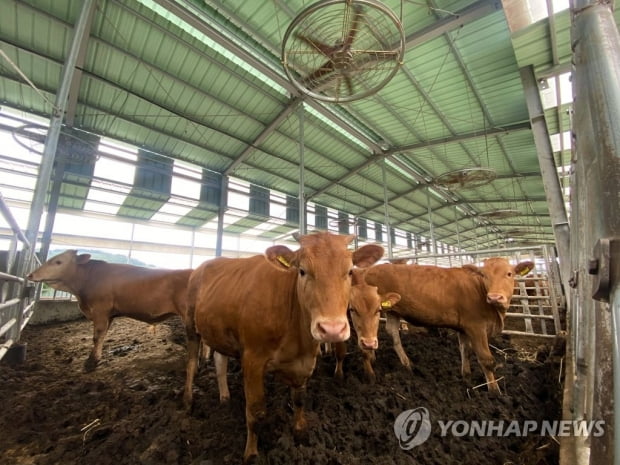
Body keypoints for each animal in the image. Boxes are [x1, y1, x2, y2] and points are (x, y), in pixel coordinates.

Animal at [27, 248, 191, 372]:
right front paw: (96, 357)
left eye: (58, 262)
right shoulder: (108, 315)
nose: (30, 274)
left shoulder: (99, 310)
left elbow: (97, 336)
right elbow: (102, 335)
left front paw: (91, 361)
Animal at [182, 232, 380, 464]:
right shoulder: (252, 360)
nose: (332, 329)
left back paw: (225, 398)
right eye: (302, 271)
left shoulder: (305, 361)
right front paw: (251, 453)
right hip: (191, 326)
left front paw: (300, 432)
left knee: (220, 361)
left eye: (349, 271)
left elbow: (300, 400)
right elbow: (256, 411)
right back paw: (188, 401)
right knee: (191, 364)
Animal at [356, 258, 536, 392]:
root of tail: (367, 270)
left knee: (392, 333)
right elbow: (486, 359)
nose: (495, 297)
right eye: (484, 275)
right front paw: (494, 391)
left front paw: (466, 375)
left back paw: (405, 363)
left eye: (509, 273)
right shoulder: (476, 327)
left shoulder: (464, 328)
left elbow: (465, 350)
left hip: (393, 311)